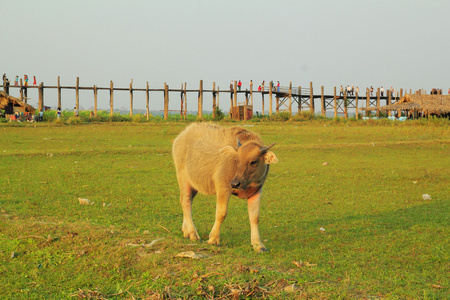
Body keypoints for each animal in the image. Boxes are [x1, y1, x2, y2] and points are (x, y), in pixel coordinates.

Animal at [172, 123, 278, 252]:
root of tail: (183, 134)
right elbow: (221, 214)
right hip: (183, 178)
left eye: (253, 162)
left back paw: (186, 231)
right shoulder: (223, 188)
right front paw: (213, 239)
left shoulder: (257, 191)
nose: (235, 183)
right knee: (185, 201)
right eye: (236, 160)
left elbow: (254, 218)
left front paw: (258, 244)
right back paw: (193, 234)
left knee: (188, 201)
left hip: (194, 184)